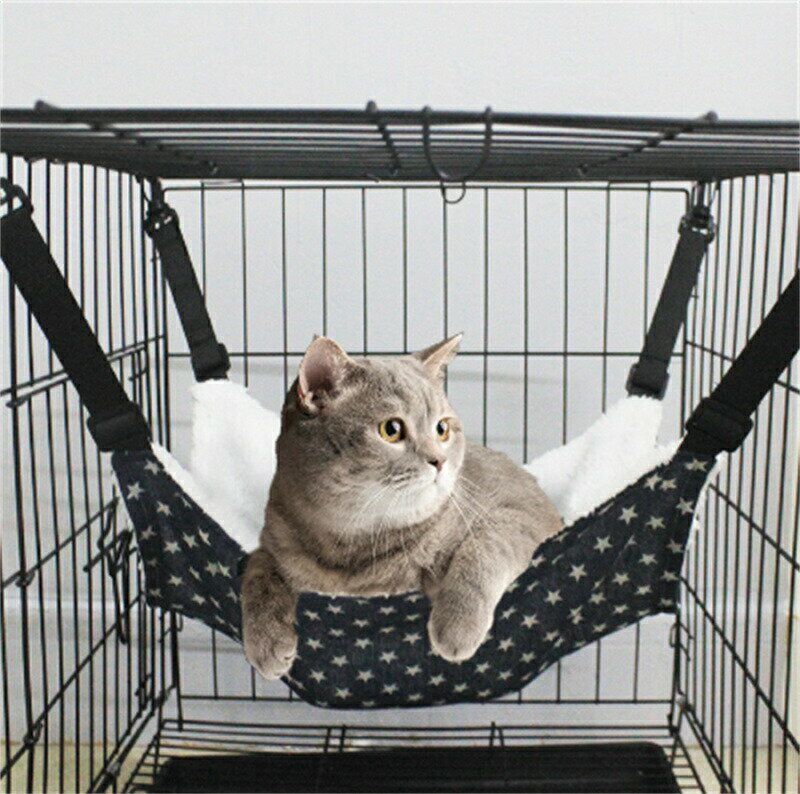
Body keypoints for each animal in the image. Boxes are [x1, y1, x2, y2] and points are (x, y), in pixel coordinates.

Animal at [241, 334, 563, 679]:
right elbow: (258, 575)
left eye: (442, 429)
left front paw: (457, 626)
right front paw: (266, 642)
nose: (440, 461)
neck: (352, 544)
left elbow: (482, 551)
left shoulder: (519, 511)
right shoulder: (272, 541)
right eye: (391, 429)